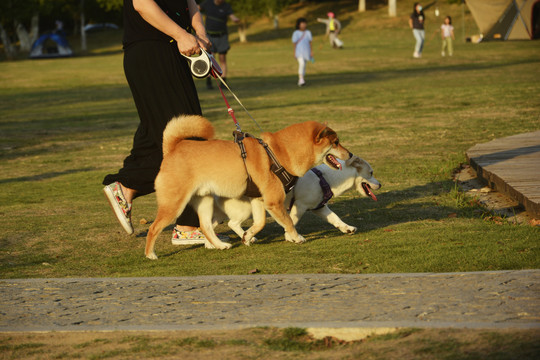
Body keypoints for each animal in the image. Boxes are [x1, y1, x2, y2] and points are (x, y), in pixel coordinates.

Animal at [146, 115, 352, 258]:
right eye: (335, 142)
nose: (350, 154)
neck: (280, 153)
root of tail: (172, 149)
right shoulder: (273, 202)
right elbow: (288, 221)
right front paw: (297, 237)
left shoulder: (258, 201)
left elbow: (260, 223)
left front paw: (247, 236)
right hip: (173, 204)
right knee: (154, 228)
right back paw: (150, 255)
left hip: (205, 200)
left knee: (206, 226)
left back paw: (220, 245)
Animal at [214, 155, 380, 238]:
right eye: (371, 173)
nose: (380, 184)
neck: (324, 178)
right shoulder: (299, 206)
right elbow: (292, 221)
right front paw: (291, 236)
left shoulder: (319, 207)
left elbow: (335, 218)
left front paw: (347, 228)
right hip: (245, 209)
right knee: (232, 224)